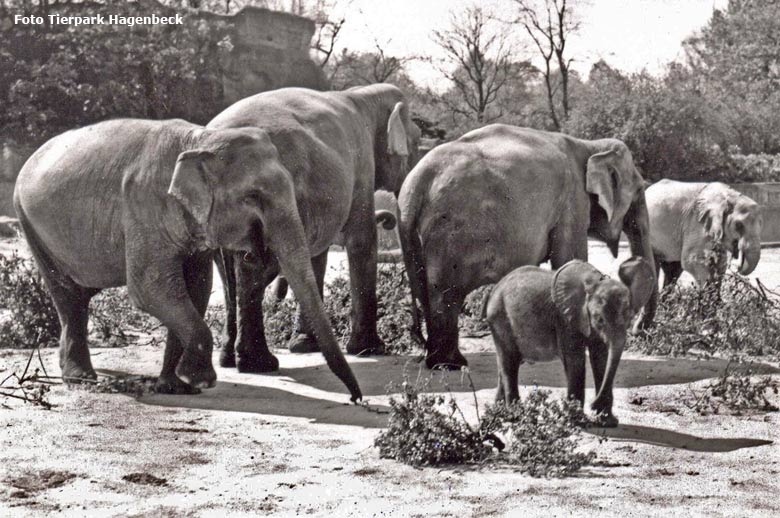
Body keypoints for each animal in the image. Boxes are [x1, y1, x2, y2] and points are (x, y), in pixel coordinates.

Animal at [14, 119, 362, 402]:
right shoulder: (144, 207)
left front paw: (177, 386)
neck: (200, 140)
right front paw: (201, 380)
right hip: (30, 222)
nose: (356, 399)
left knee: (77, 297)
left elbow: (196, 287)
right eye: (253, 197)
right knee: (67, 295)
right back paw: (81, 379)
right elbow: (150, 288)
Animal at [210, 84, 420, 374]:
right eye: (417, 141)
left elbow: (316, 254)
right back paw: (259, 364)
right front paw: (369, 349)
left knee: (227, 271)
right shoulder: (361, 165)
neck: (363, 94)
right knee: (257, 265)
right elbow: (362, 239)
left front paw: (303, 345)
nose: (418, 337)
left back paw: (229, 359)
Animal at [396, 125, 660, 370]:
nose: (638, 330)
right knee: (447, 292)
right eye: (639, 190)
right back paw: (451, 364)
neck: (590, 146)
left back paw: (438, 362)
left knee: (424, 289)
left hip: (415, 235)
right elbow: (569, 259)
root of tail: (416, 182)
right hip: (452, 231)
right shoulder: (572, 202)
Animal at [484, 258, 656, 428]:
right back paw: (517, 417)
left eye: (629, 319)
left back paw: (500, 414)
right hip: (500, 320)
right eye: (599, 319)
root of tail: (495, 289)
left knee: (505, 364)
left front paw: (608, 422)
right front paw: (577, 422)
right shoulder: (565, 319)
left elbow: (601, 359)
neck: (595, 283)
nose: (593, 405)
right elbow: (576, 360)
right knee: (510, 363)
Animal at [644, 180, 764, 320]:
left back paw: (667, 311)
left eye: (761, 224)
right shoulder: (697, 223)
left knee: (673, 270)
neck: (729, 197)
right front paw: (707, 312)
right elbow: (692, 261)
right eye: (739, 225)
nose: (737, 267)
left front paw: (716, 308)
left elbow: (720, 263)